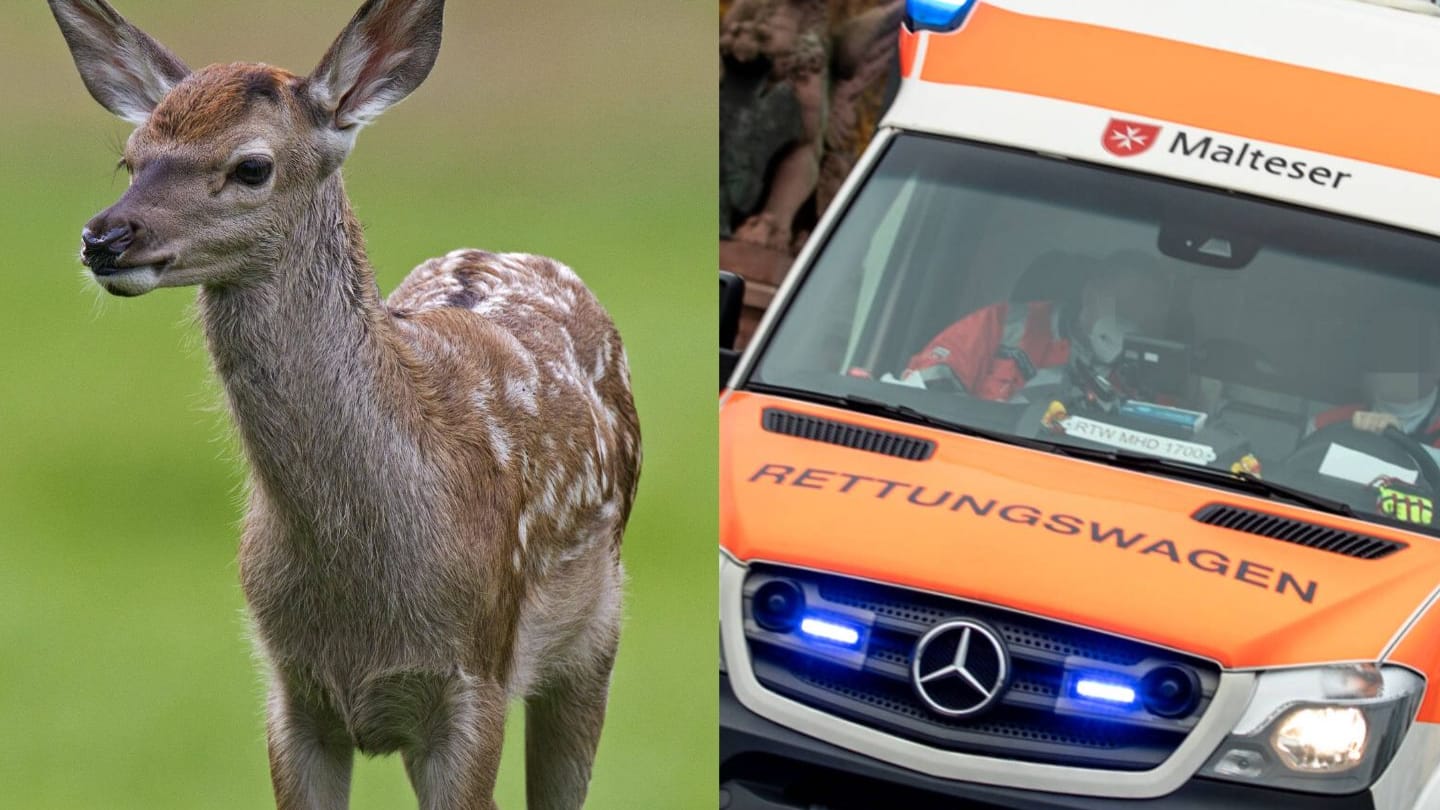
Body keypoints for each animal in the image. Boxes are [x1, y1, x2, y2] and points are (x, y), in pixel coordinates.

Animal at [47, 0, 642, 801]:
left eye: (252, 166)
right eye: (132, 158)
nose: (106, 236)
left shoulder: (476, 678)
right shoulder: (288, 691)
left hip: (596, 635)